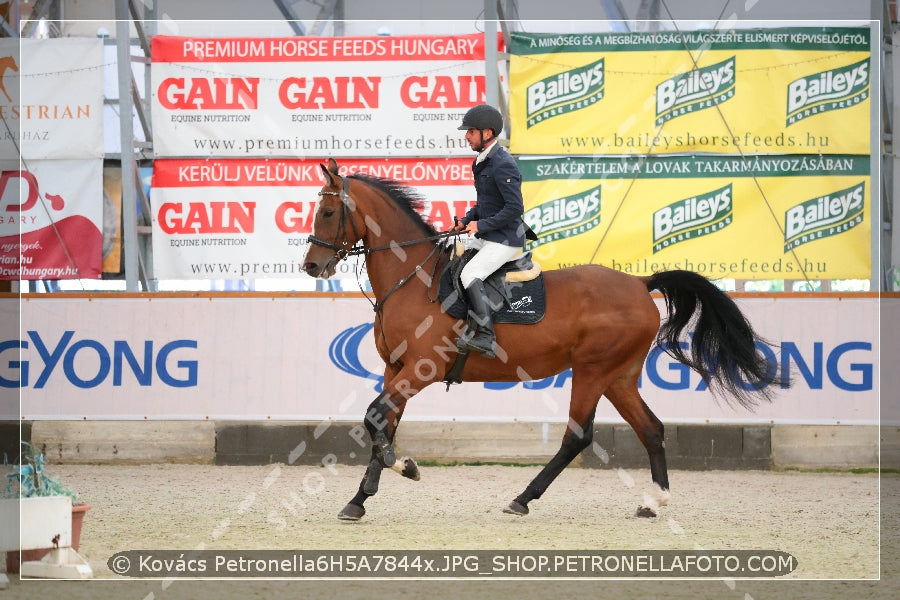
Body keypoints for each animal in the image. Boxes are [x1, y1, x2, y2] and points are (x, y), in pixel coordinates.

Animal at [300, 158, 780, 520]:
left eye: (328, 213)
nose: (311, 267)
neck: (415, 279)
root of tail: (639, 284)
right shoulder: (394, 368)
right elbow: (381, 422)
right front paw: (360, 500)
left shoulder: (421, 369)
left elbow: (375, 417)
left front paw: (406, 467)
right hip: (619, 376)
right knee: (651, 429)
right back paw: (654, 502)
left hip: (592, 371)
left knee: (577, 437)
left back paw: (522, 499)